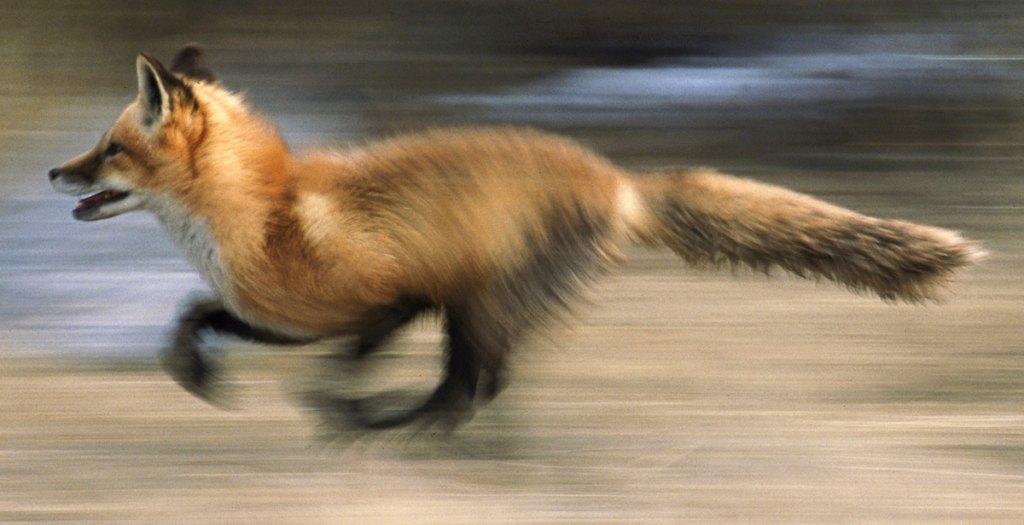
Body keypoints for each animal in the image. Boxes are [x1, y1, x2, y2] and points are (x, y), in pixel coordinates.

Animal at [50, 45, 983, 430]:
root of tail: (613, 177)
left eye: (111, 149)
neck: (264, 213)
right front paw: (195, 375)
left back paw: (387, 429)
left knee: (469, 390)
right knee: (478, 388)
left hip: (478, 305)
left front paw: (338, 406)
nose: (56, 174)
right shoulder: (285, 315)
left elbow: (333, 368)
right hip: (481, 310)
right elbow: (191, 315)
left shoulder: (397, 300)